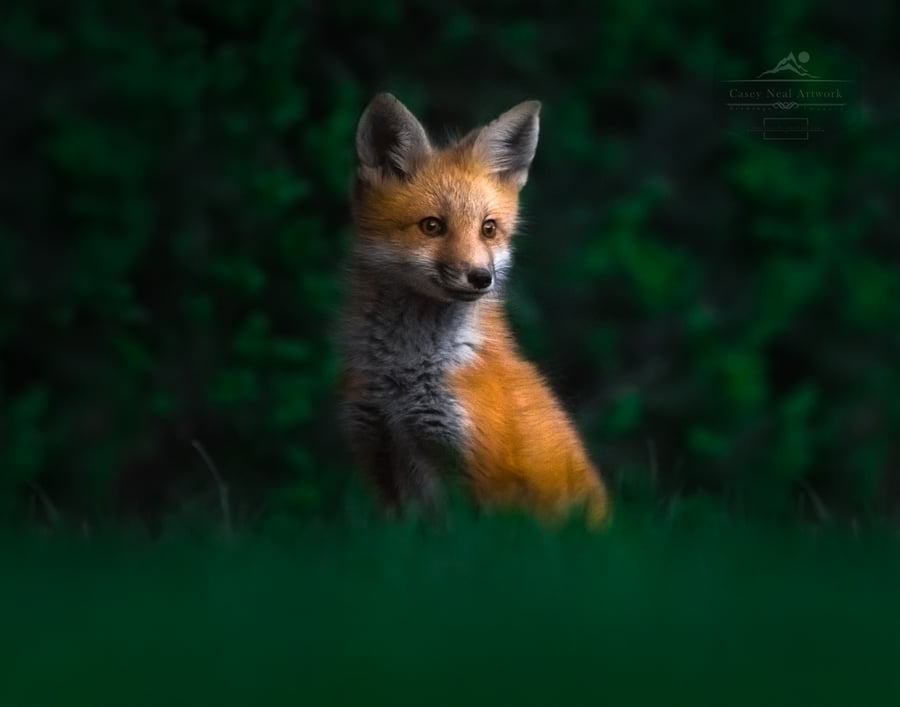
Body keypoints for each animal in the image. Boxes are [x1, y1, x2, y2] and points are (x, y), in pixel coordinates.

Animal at [342, 92, 608, 524]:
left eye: (488, 229)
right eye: (431, 226)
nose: (482, 278)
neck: (404, 376)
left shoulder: (483, 472)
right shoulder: (376, 452)